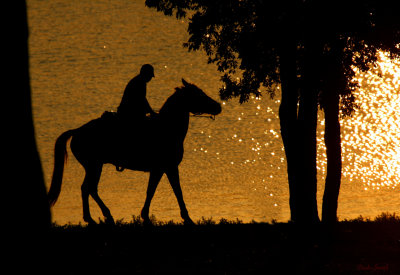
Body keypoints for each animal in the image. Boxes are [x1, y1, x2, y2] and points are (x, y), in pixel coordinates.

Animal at [47, 78, 222, 225]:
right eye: (198, 94)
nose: (218, 106)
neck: (167, 128)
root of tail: (77, 131)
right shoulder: (169, 167)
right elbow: (176, 191)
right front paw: (186, 217)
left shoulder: (159, 169)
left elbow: (151, 191)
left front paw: (145, 216)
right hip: (94, 166)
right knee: (88, 188)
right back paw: (98, 217)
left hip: (94, 166)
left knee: (89, 189)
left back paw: (97, 217)